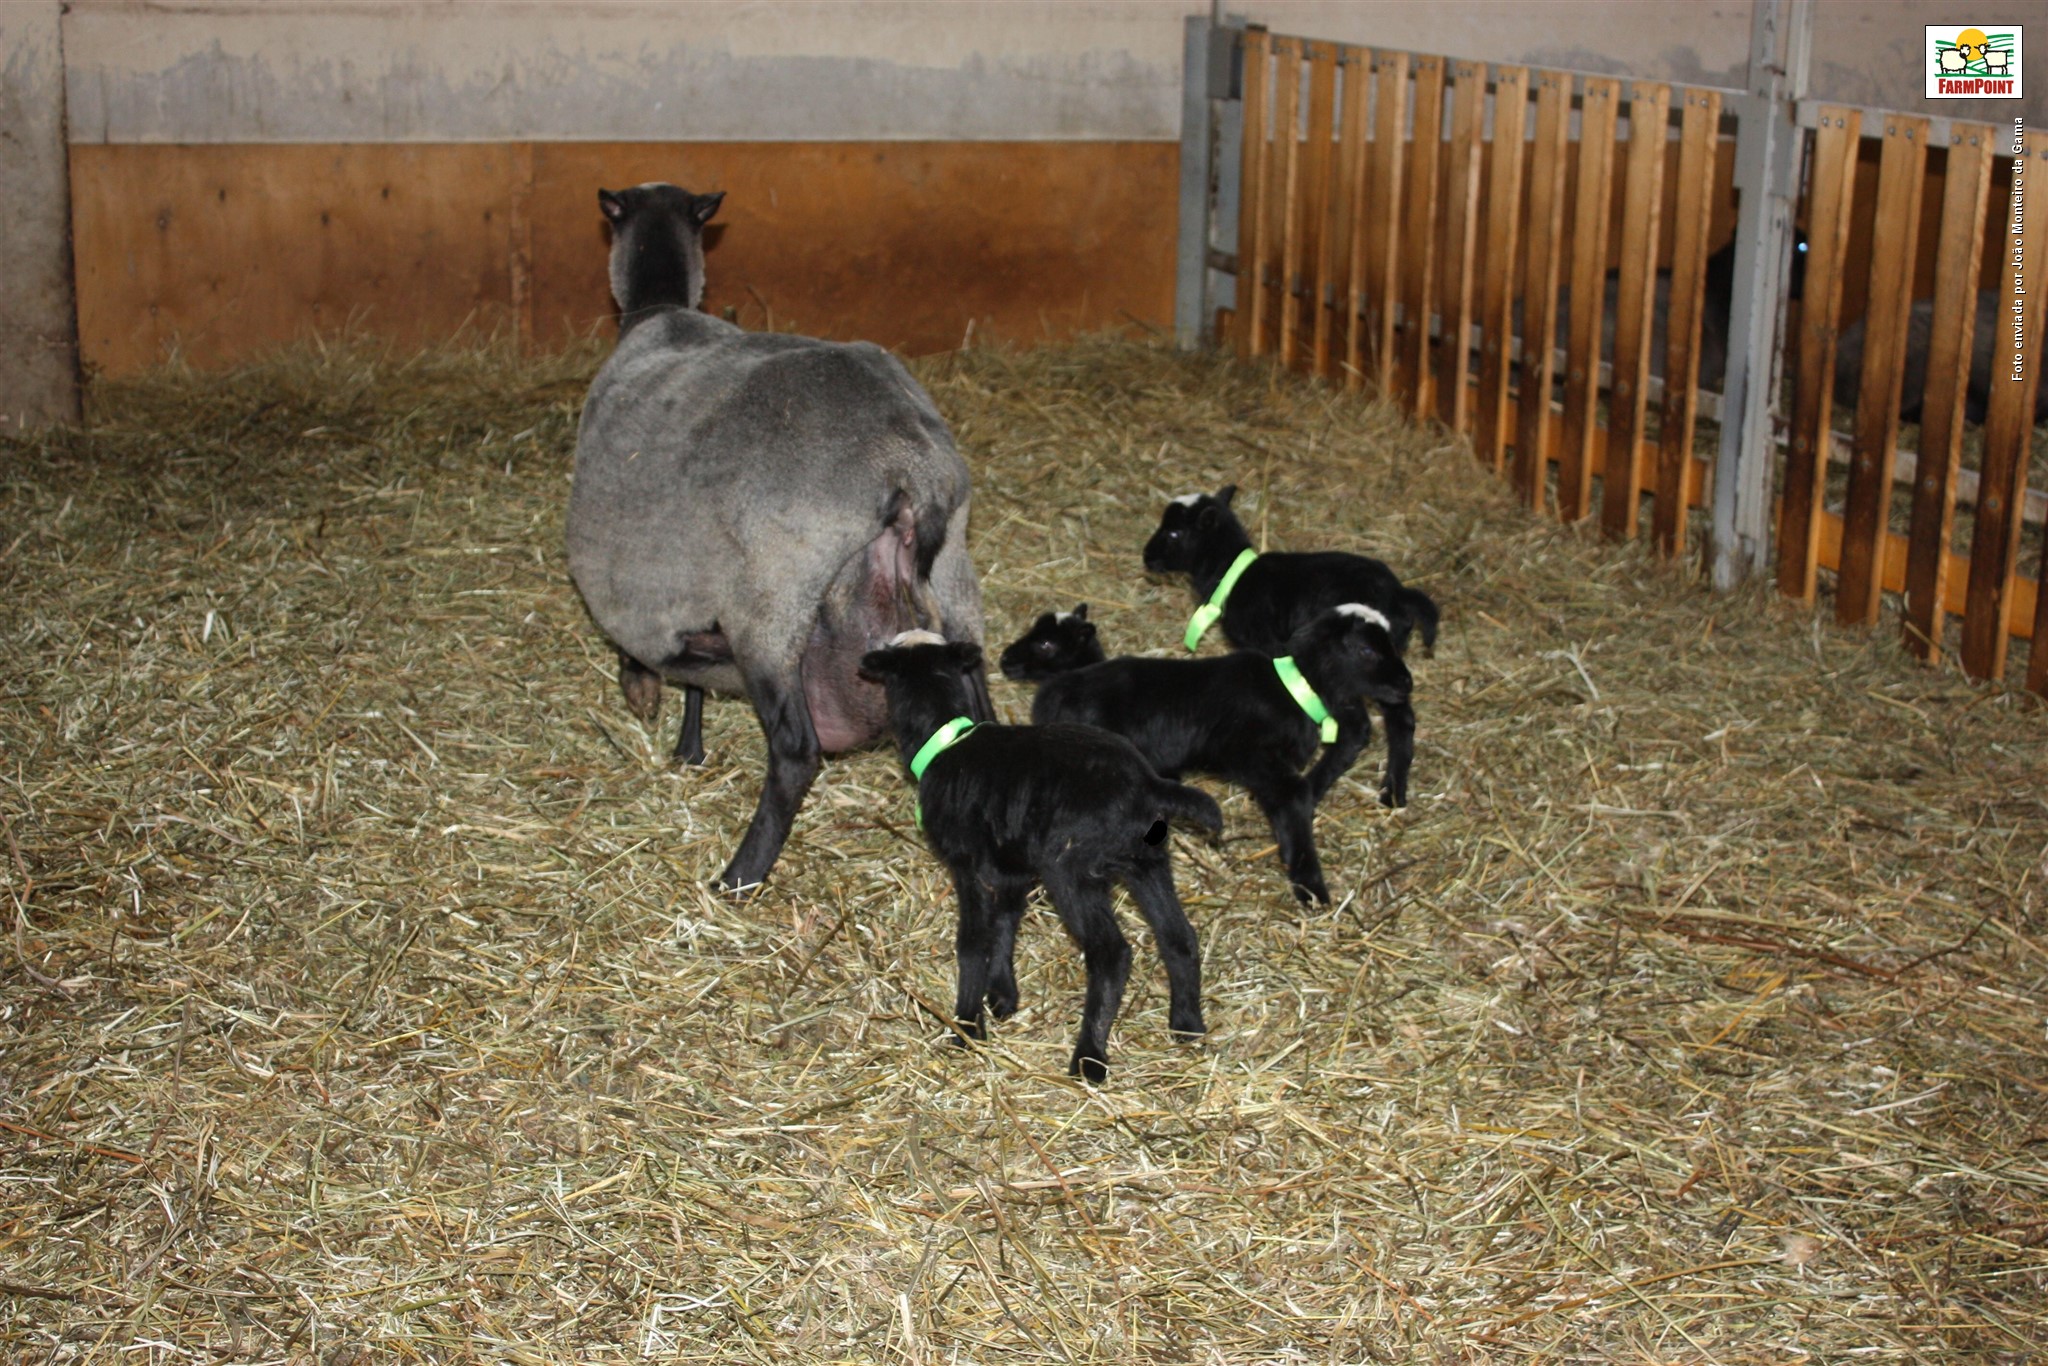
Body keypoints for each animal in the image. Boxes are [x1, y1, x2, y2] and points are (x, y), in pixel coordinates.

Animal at [568, 182, 990, 894]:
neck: (662, 310)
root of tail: (905, 461)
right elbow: (694, 681)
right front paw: (689, 748)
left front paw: (643, 694)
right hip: (955, 583)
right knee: (982, 707)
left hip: (772, 607)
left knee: (795, 751)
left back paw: (738, 875)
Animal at [860, 632, 1220, 1082]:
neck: (944, 738)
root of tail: (1148, 786)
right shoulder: (1010, 866)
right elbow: (1005, 923)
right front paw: (1001, 995)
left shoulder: (967, 865)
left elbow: (973, 941)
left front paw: (966, 1026)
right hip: (1147, 863)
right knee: (1177, 935)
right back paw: (1187, 1024)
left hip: (1069, 870)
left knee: (1111, 953)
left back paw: (1089, 1058)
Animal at [1000, 603, 1413, 905]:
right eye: (1366, 649)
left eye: (1385, 645)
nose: (1407, 683)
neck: (1295, 687)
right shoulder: (1251, 756)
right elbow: (1292, 798)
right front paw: (1310, 887)